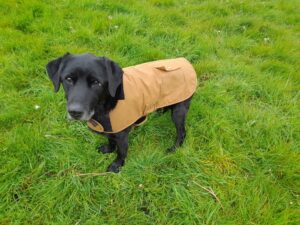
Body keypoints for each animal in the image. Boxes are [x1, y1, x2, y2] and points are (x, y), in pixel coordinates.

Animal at [46, 53, 193, 172]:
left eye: (96, 82)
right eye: (68, 79)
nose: (75, 112)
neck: (105, 106)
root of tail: (185, 61)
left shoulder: (122, 134)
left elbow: (121, 151)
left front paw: (117, 165)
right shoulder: (111, 128)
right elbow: (111, 141)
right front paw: (108, 150)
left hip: (179, 111)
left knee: (182, 132)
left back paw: (175, 148)